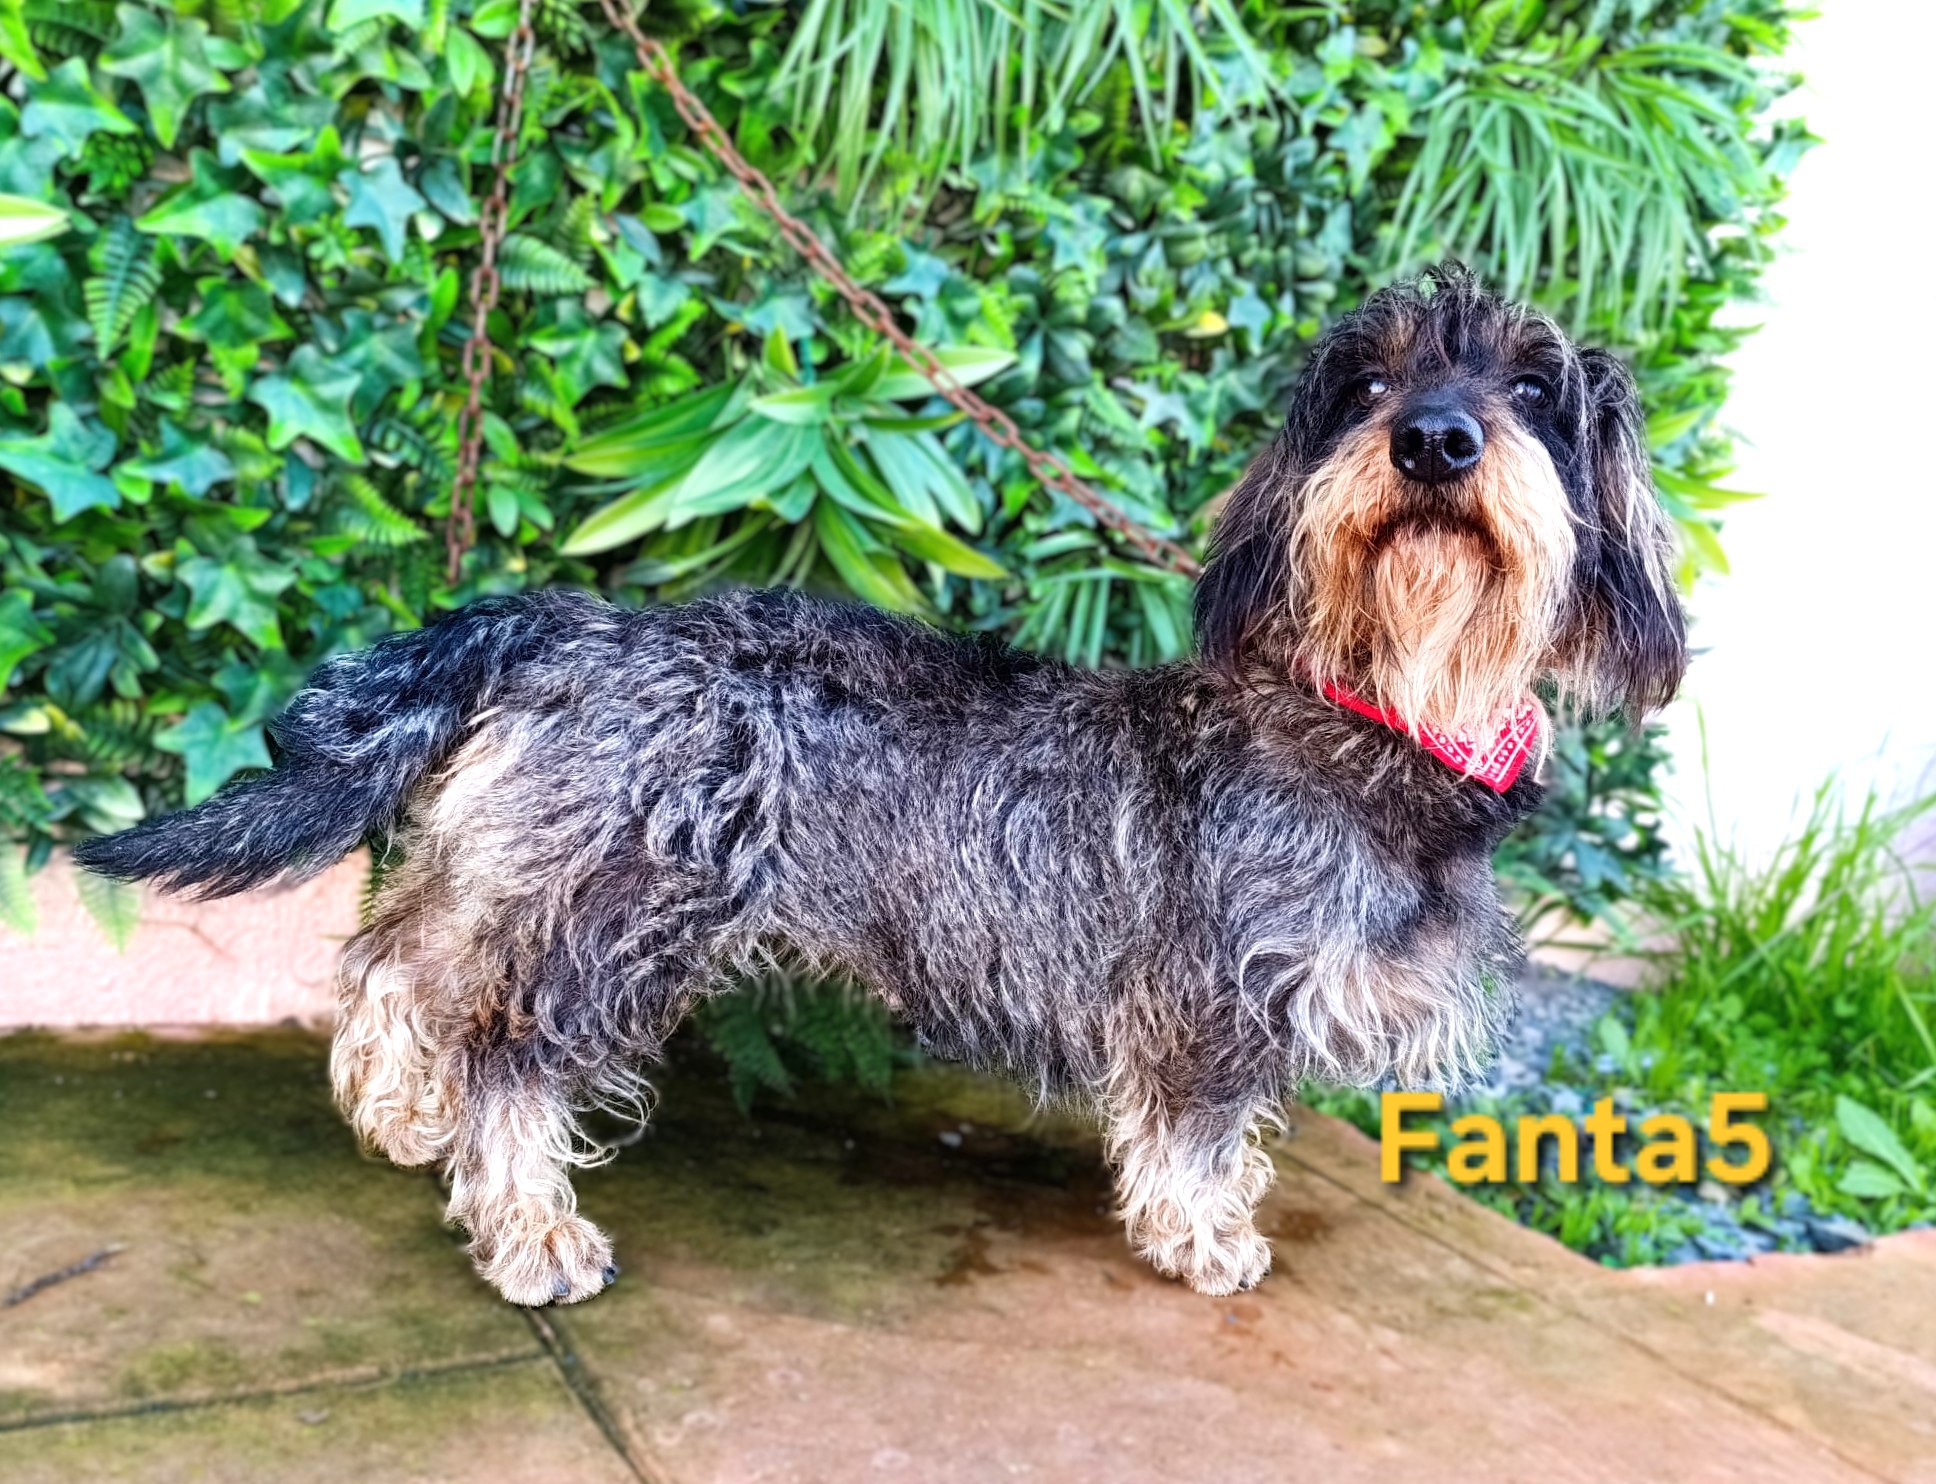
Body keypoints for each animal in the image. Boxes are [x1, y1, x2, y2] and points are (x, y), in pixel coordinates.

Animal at [77, 267, 1686, 1302]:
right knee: (505, 1050)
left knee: (399, 958)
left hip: (522, 866)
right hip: (617, 908)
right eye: (1365, 381)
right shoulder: (1213, 999)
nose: (1433, 438)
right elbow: (1199, 1129)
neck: (1381, 703)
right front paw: (1202, 1239)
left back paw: (397, 1109)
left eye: (1533, 389)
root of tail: (574, 623)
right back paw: (530, 1232)